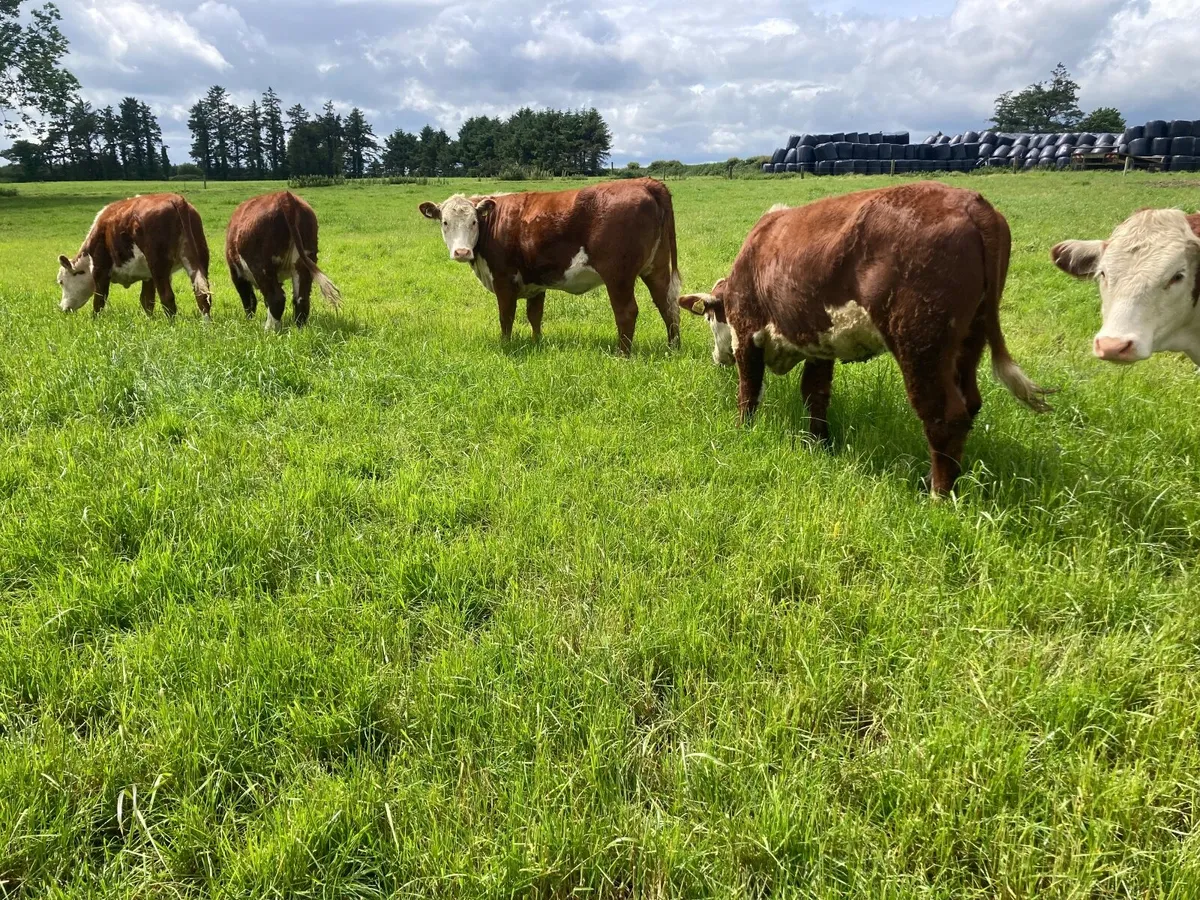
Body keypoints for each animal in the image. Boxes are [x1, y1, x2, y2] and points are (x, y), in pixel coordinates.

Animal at [57, 193, 211, 318]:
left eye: (61, 282)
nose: (63, 308)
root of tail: (177, 199)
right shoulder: (148, 276)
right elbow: (147, 301)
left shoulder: (100, 270)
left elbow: (99, 301)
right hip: (198, 257)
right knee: (203, 295)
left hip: (158, 265)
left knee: (167, 297)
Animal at [225, 191, 341, 331]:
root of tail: (285, 196)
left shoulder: (236, 273)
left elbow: (248, 299)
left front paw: (249, 321)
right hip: (302, 263)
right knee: (301, 299)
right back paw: (299, 329)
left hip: (261, 267)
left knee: (276, 298)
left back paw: (269, 330)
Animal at [419, 178, 681, 354]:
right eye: (445, 222)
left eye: (474, 221)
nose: (462, 252)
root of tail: (642, 182)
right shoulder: (536, 282)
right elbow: (535, 315)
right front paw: (537, 343)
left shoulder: (504, 280)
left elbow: (506, 317)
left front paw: (505, 346)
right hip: (656, 268)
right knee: (667, 304)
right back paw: (673, 347)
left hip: (618, 275)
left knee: (627, 312)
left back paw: (622, 355)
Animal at [679, 182, 1053, 496]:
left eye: (711, 316)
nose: (717, 356)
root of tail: (972, 203)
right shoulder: (818, 341)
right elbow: (815, 394)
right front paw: (818, 443)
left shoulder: (747, 334)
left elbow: (749, 392)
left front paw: (744, 430)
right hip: (970, 339)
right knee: (970, 404)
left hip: (921, 343)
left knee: (944, 415)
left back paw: (937, 494)